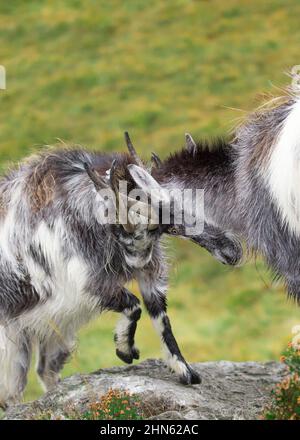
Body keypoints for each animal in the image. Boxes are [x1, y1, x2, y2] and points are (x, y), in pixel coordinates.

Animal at [0, 136, 241, 408]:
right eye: (167, 225)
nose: (232, 251)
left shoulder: (149, 276)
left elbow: (161, 318)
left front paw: (185, 372)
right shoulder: (87, 287)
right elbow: (133, 305)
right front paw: (125, 350)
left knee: (45, 370)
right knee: (12, 392)